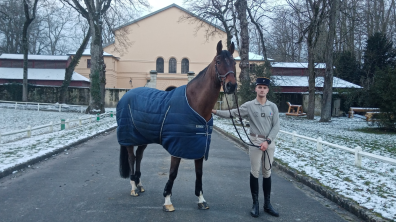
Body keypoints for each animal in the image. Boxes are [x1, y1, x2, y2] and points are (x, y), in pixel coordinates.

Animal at [116, 40, 237, 212]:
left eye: (234, 62)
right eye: (219, 61)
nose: (231, 85)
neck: (195, 104)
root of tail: (126, 95)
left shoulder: (198, 146)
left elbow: (199, 173)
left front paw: (201, 200)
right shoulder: (177, 147)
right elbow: (173, 173)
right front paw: (167, 200)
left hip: (143, 137)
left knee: (139, 156)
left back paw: (139, 184)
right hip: (128, 138)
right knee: (132, 158)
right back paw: (133, 187)